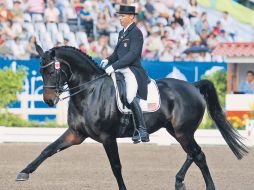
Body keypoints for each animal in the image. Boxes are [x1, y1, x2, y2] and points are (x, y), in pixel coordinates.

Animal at [16, 43, 248, 189]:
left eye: (52, 72)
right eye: (41, 72)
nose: (48, 101)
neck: (89, 91)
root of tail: (192, 85)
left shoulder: (107, 137)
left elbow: (116, 166)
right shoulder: (76, 134)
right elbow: (48, 149)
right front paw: (23, 173)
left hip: (183, 131)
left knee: (198, 155)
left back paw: (207, 186)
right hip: (175, 130)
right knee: (193, 153)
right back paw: (179, 181)